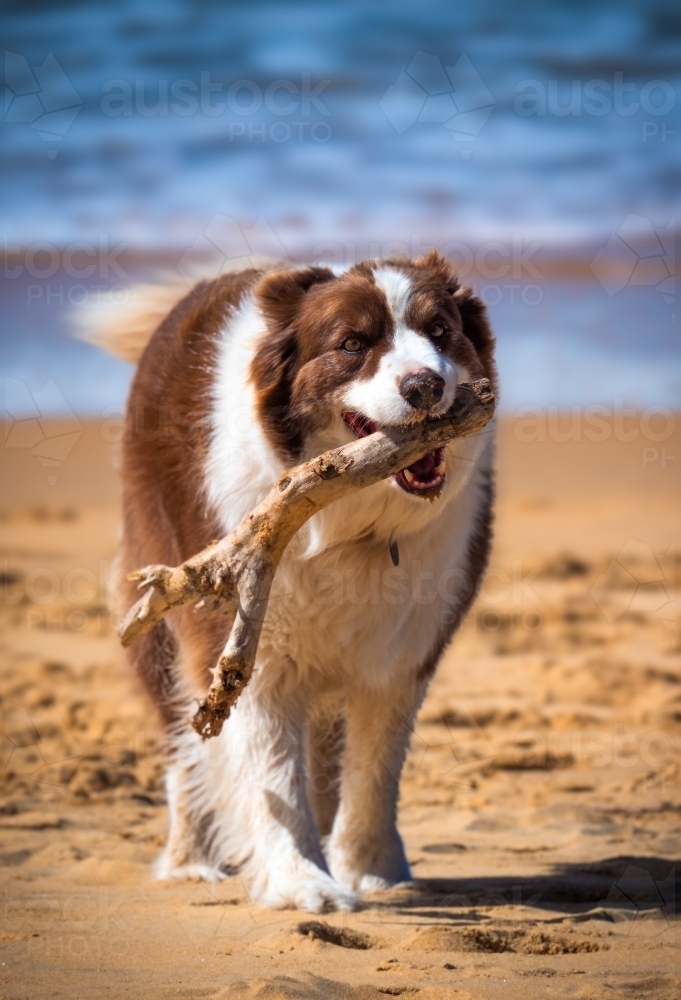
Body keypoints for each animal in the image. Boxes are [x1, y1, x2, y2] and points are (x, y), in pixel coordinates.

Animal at [87, 252, 496, 916]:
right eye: (351, 344)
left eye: (440, 332)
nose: (425, 386)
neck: (350, 520)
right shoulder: (247, 650)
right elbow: (271, 771)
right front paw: (302, 880)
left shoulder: (404, 655)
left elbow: (375, 769)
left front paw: (374, 872)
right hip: (158, 611)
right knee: (181, 746)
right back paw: (189, 860)